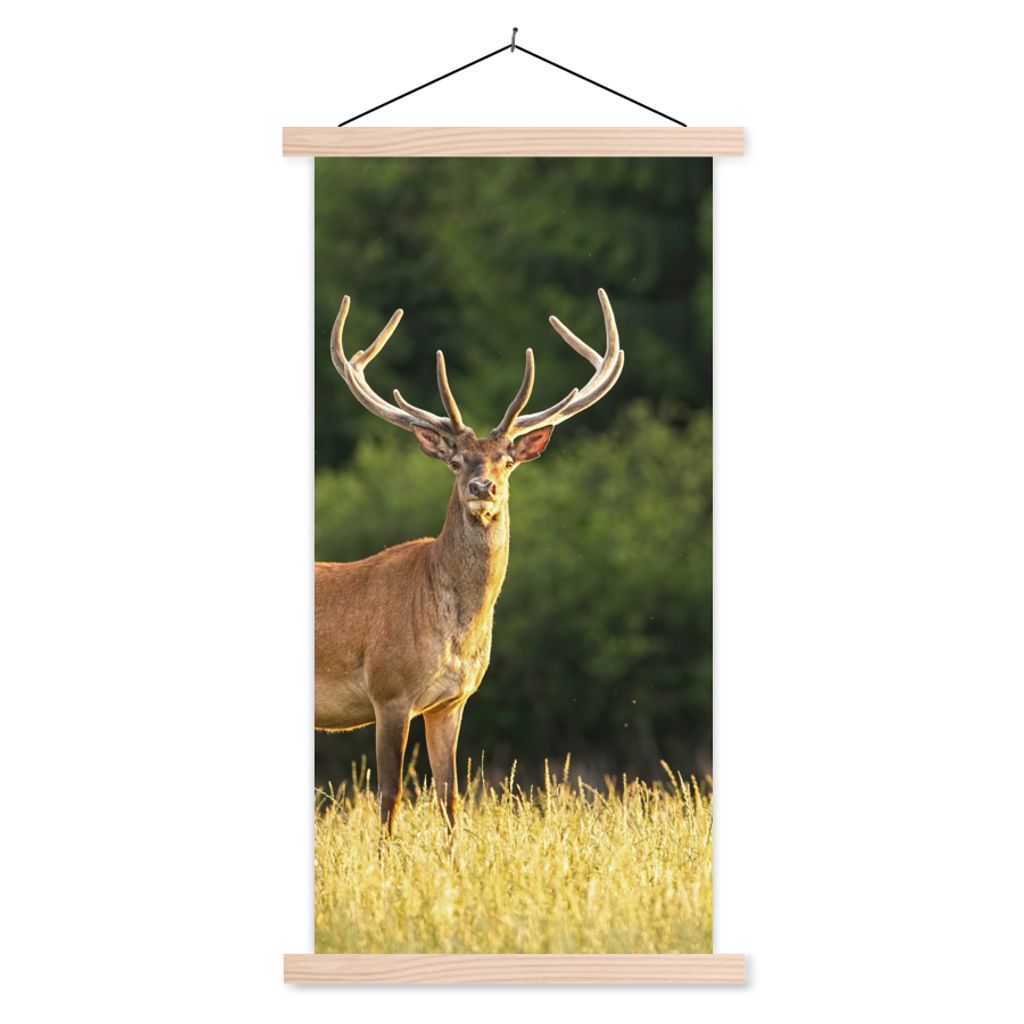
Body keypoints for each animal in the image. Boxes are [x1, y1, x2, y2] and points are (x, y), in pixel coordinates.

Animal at [315, 288, 624, 833]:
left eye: (507, 460)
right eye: (456, 461)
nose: (483, 488)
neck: (455, 631)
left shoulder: (452, 700)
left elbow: (450, 796)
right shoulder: (388, 690)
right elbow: (390, 795)